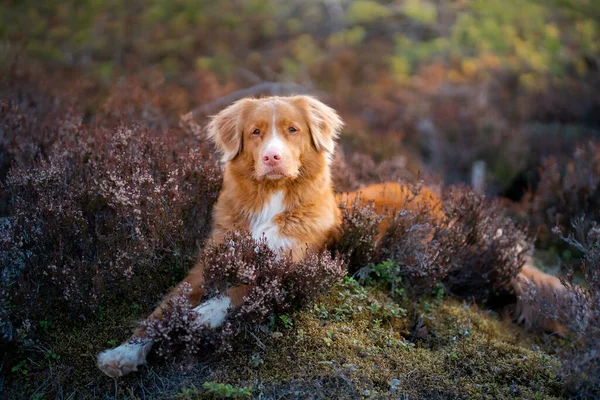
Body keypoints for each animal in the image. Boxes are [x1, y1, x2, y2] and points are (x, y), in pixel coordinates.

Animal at [96, 95, 568, 376]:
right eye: (255, 132)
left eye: (292, 130)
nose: (271, 157)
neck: (272, 201)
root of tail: (440, 201)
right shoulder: (207, 263)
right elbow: (161, 309)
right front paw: (123, 353)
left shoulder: (291, 267)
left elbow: (236, 291)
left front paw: (199, 317)